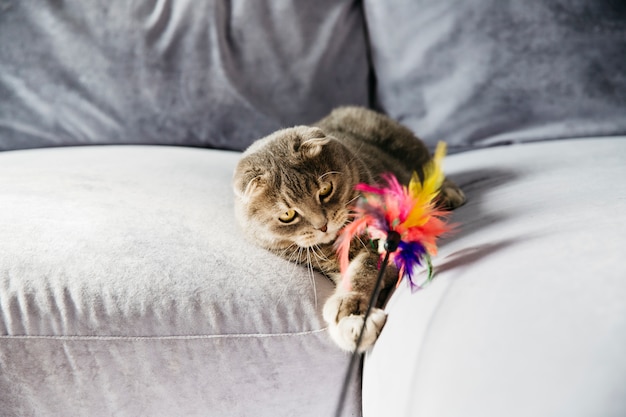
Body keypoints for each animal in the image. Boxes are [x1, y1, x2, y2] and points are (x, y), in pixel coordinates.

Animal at [230, 106, 464, 352]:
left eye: (325, 190)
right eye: (287, 215)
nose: (322, 225)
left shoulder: (386, 241)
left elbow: (364, 268)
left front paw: (349, 308)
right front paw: (352, 324)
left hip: (412, 151)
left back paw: (448, 194)